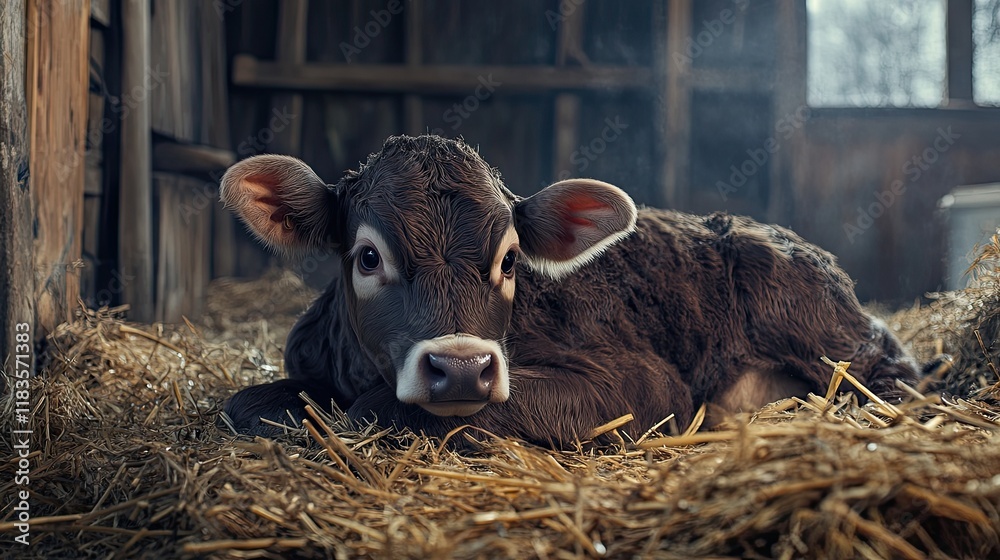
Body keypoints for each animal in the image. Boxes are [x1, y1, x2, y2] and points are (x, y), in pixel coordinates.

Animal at [219, 134, 919, 447]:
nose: (462, 368)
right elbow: (243, 404)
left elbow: (376, 410)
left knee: (893, 374)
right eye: (368, 257)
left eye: (510, 259)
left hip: (821, 327)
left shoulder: (645, 384)